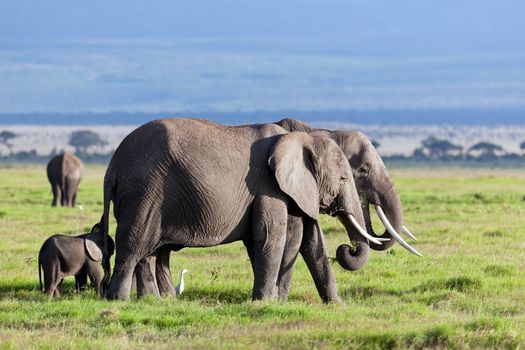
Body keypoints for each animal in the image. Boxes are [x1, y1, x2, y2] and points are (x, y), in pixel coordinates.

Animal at [101, 117, 372, 300]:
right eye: (343, 179)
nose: (347, 248)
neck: (300, 138)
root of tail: (113, 165)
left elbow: (298, 239)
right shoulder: (267, 185)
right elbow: (270, 235)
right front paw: (265, 302)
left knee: (148, 251)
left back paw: (153, 301)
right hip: (144, 192)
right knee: (133, 246)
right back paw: (120, 300)